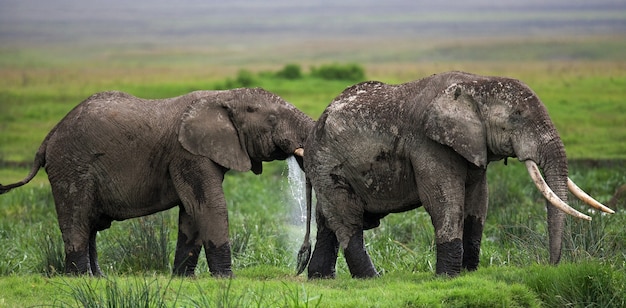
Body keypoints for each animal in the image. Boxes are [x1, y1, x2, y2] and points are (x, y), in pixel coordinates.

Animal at [0, 87, 312, 276]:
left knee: (89, 224)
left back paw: (98, 278)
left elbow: (192, 212)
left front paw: (184, 278)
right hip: (71, 165)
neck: (222, 97)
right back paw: (80, 278)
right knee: (77, 219)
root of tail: (49, 135)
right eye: (272, 119)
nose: (299, 264)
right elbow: (209, 207)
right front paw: (226, 279)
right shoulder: (187, 153)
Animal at [294, 71, 612, 280]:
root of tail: (312, 132)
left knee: (329, 221)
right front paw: (448, 277)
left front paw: (469, 274)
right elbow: (444, 201)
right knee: (347, 221)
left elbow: (478, 201)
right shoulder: (428, 144)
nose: (551, 266)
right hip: (328, 163)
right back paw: (372, 279)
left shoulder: (473, 145)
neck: (477, 84)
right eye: (517, 117)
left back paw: (321, 278)